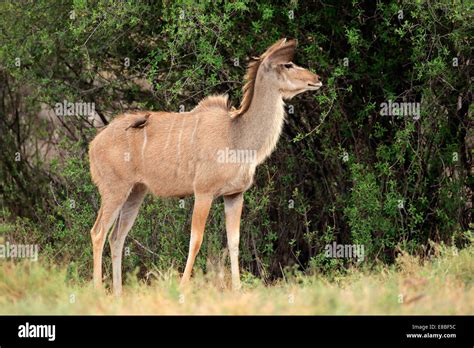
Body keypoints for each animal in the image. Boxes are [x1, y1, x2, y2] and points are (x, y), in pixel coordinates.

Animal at [90, 38, 322, 294]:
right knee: (98, 232)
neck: (236, 136)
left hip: (136, 192)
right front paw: (182, 287)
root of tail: (93, 145)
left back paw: (118, 294)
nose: (317, 78)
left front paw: (238, 289)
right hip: (114, 190)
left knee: (117, 237)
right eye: (288, 64)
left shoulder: (234, 195)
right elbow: (196, 239)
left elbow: (234, 241)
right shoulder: (203, 192)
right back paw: (99, 291)